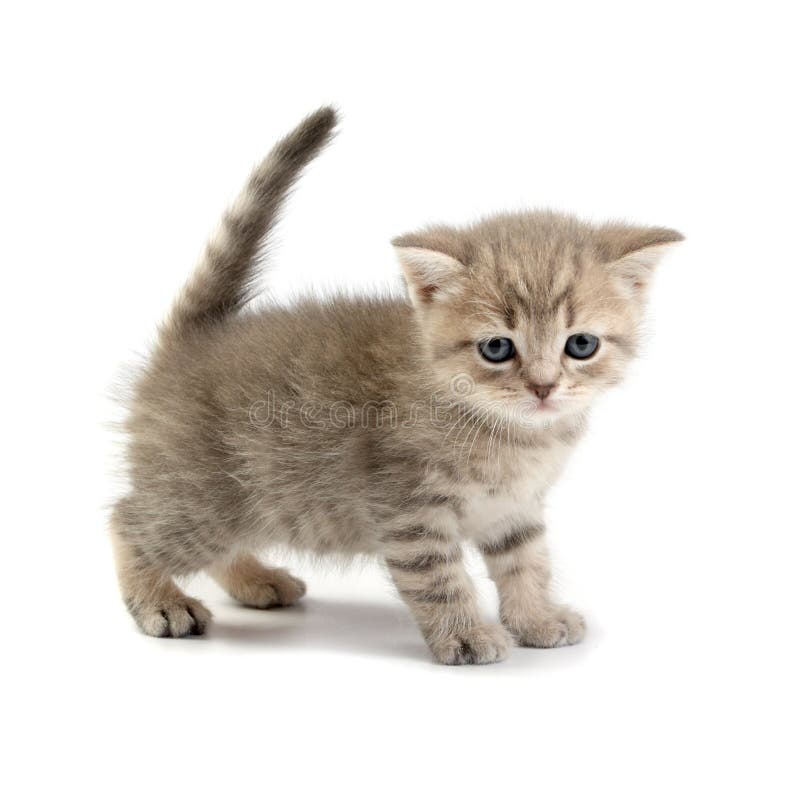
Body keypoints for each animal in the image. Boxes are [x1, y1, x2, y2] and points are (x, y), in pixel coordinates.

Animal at [112, 108, 680, 668]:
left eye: (581, 344)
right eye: (497, 348)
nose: (543, 387)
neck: (513, 437)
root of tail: (191, 340)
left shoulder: (514, 507)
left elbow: (527, 561)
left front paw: (537, 619)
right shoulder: (409, 510)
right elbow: (439, 579)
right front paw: (466, 636)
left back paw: (258, 579)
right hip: (205, 499)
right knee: (128, 522)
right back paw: (161, 602)